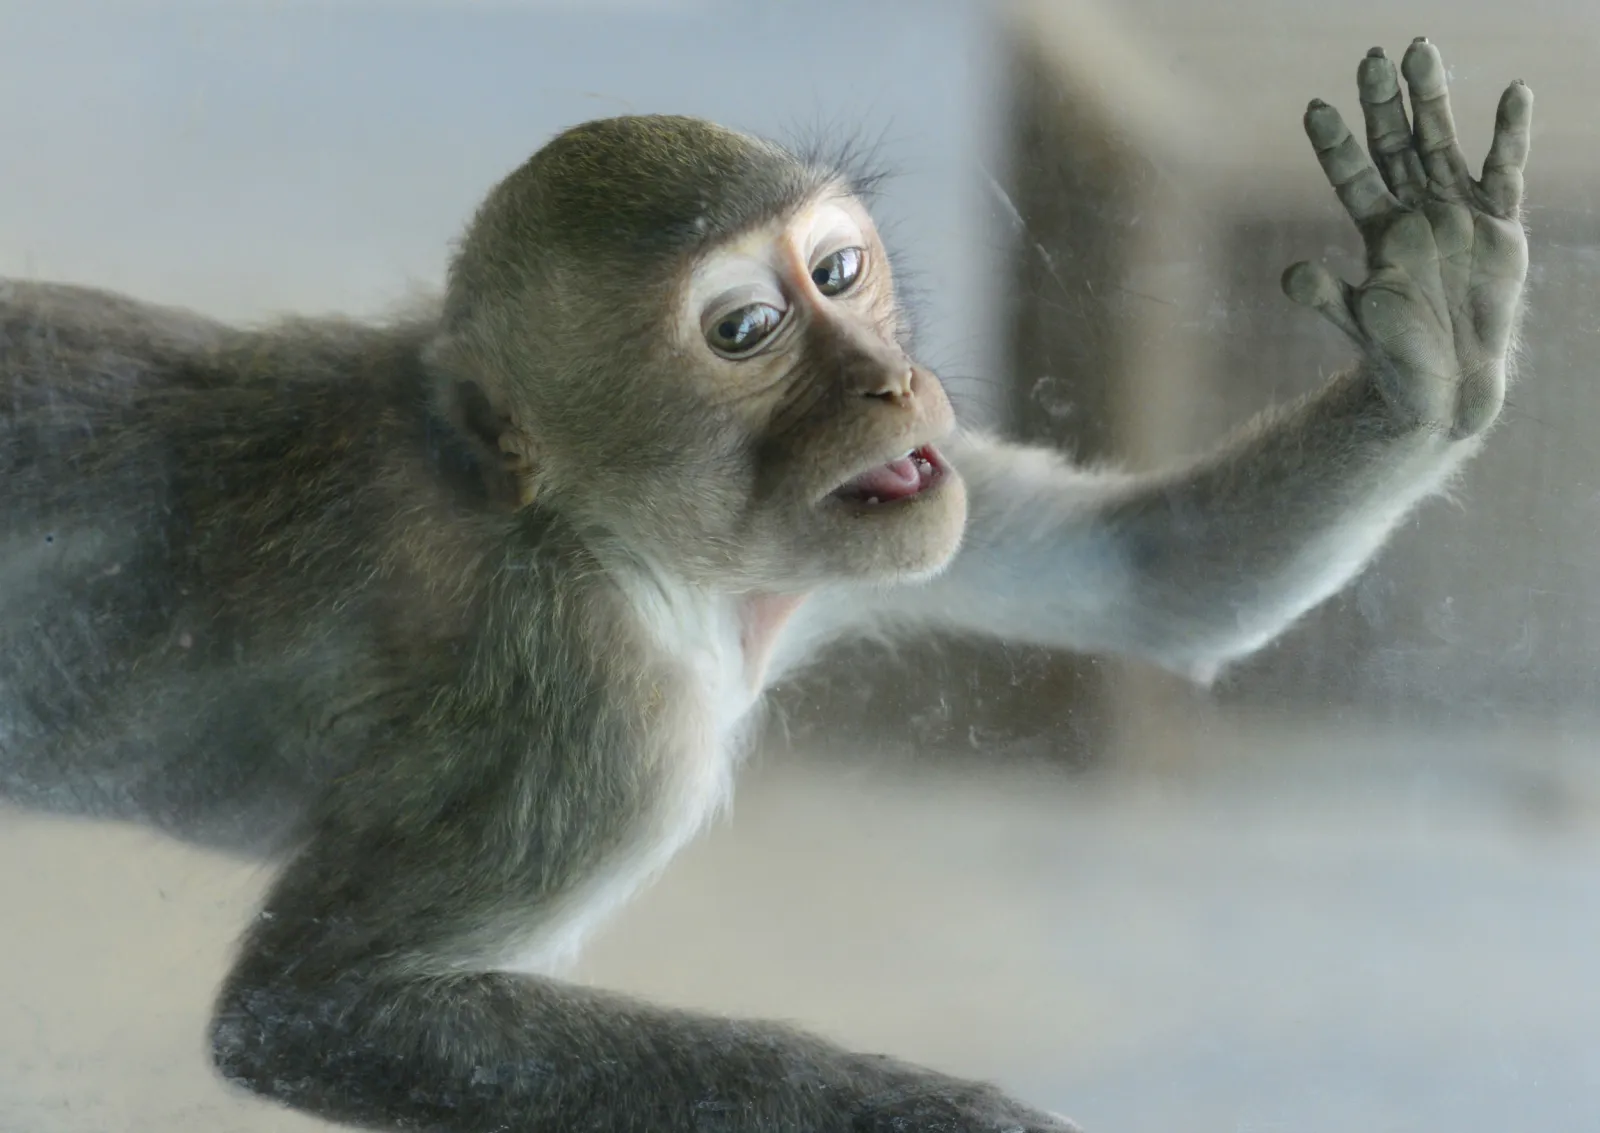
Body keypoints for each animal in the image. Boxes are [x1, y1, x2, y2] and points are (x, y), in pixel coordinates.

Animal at [0, 37, 1531, 1133]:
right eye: (746, 331)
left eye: (840, 271)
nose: (890, 383)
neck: (598, 535)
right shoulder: (590, 710)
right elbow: (313, 1012)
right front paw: (958, 1122)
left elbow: (1155, 577)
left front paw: (1432, 333)